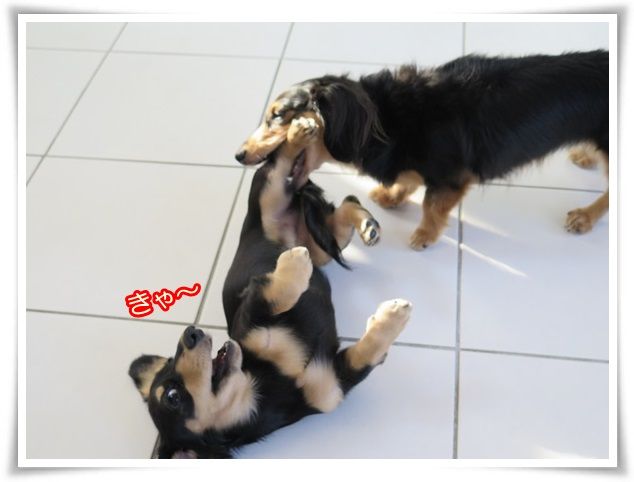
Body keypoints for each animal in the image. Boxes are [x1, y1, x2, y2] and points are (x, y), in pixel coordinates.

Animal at [129, 118, 411, 458]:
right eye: (172, 396)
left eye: (172, 360)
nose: (190, 334)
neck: (264, 386)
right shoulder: (333, 383)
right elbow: (367, 350)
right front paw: (391, 317)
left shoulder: (255, 314)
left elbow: (276, 297)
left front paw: (391, 317)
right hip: (301, 227)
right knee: (333, 209)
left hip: (274, 201)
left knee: (317, 188)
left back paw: (302, 136)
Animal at [235, 50, 609, 250]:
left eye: (277, 116)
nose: (238, 155)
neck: (387, 117)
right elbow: (409, 181)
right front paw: (392, 196)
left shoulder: (450, 178)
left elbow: (431, 206)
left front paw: (424, 235)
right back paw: (585, 155)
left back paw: (585, 216)